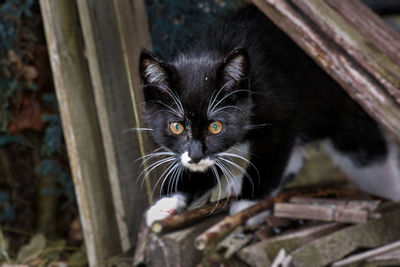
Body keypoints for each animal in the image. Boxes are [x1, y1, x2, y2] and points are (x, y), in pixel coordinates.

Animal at [140, 4, 400, 226]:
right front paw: (166, 204)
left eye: (216, 126)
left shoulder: (282, 113)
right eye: (176, 127)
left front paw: (248, 205)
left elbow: (270, 155)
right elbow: (206, 167)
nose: (195, 155)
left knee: (367, 156)